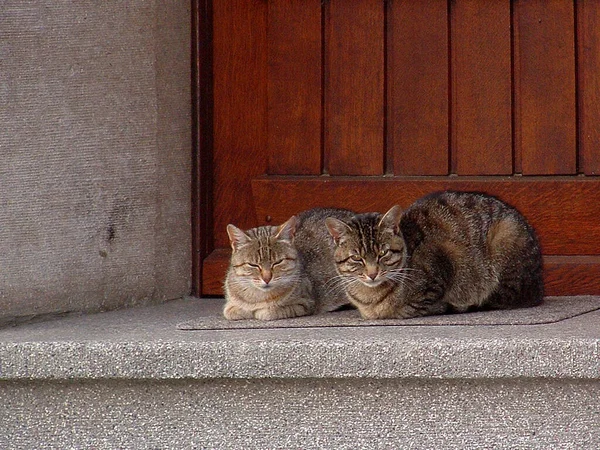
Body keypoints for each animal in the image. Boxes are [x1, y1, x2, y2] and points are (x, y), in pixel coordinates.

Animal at [225, 207, 356, 320]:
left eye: (278, 262)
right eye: (253, 265)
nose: (267, 278)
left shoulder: (304, 303)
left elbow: (270, 311)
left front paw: (260, 311)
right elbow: (230, 310)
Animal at [326, 191, 548, 320]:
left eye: (383, 253)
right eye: (357, 258)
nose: (372, 274)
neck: (369, 298)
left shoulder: (443, 260)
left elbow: (404, 310)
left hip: (505, 237)